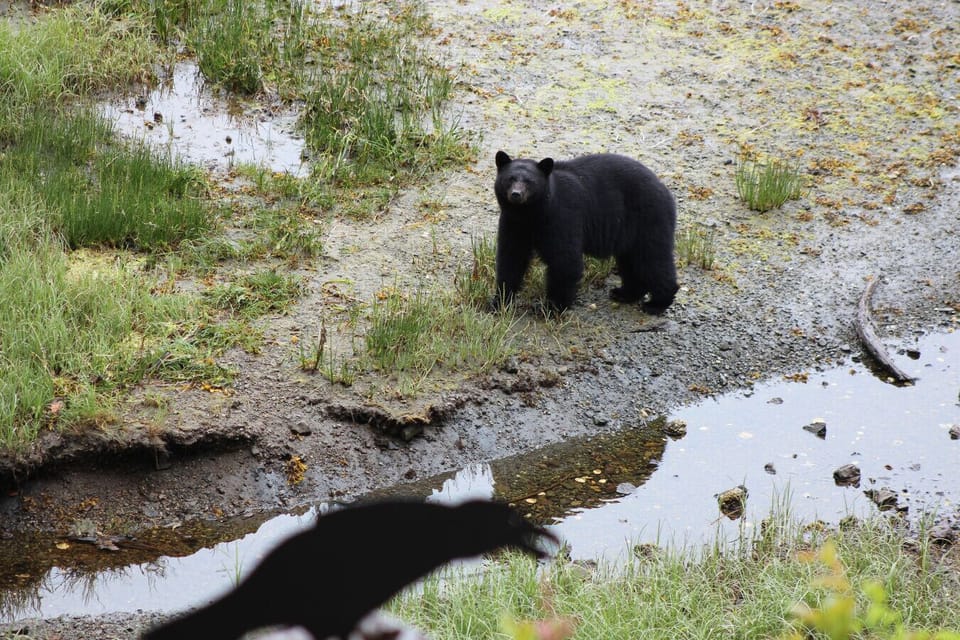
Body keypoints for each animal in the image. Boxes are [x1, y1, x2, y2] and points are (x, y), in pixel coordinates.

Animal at [491, 150, 678, 315]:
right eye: (510, 179)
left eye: (529, 181)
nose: (516, 194)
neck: (530, 214)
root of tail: (663, 188)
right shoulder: (513, 223)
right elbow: (511, 258)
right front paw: (499, 302)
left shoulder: (561, 217)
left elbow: (565, 260)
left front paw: (551, 308)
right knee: (631, 261)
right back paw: (624, 293)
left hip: (648, 219)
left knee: (653, 259)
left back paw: (656, 303)